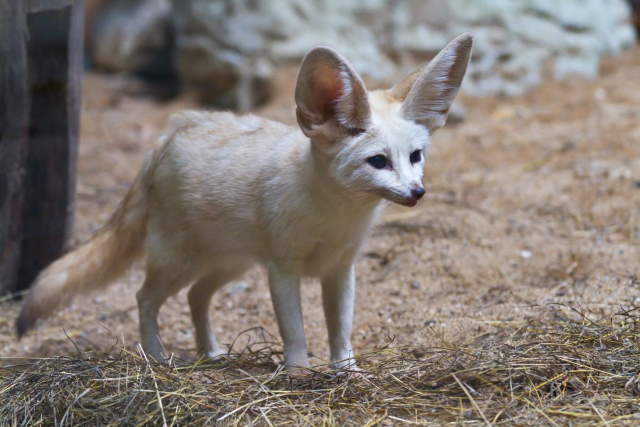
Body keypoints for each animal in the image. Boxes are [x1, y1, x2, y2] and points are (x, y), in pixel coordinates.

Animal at [17, 35, 472, 372]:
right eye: (378, 161)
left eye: (415, 156)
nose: (417, 192)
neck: (334, 217)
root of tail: (174, 131)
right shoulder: (283, 269)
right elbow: (295, 331)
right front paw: (299, 373)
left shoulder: (341, 270)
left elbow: (340, 330)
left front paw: (347, 371)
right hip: (178, 261)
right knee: (145, 298)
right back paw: (157, 356)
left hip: (227, 264)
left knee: (195, 297)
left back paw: (211, 353)